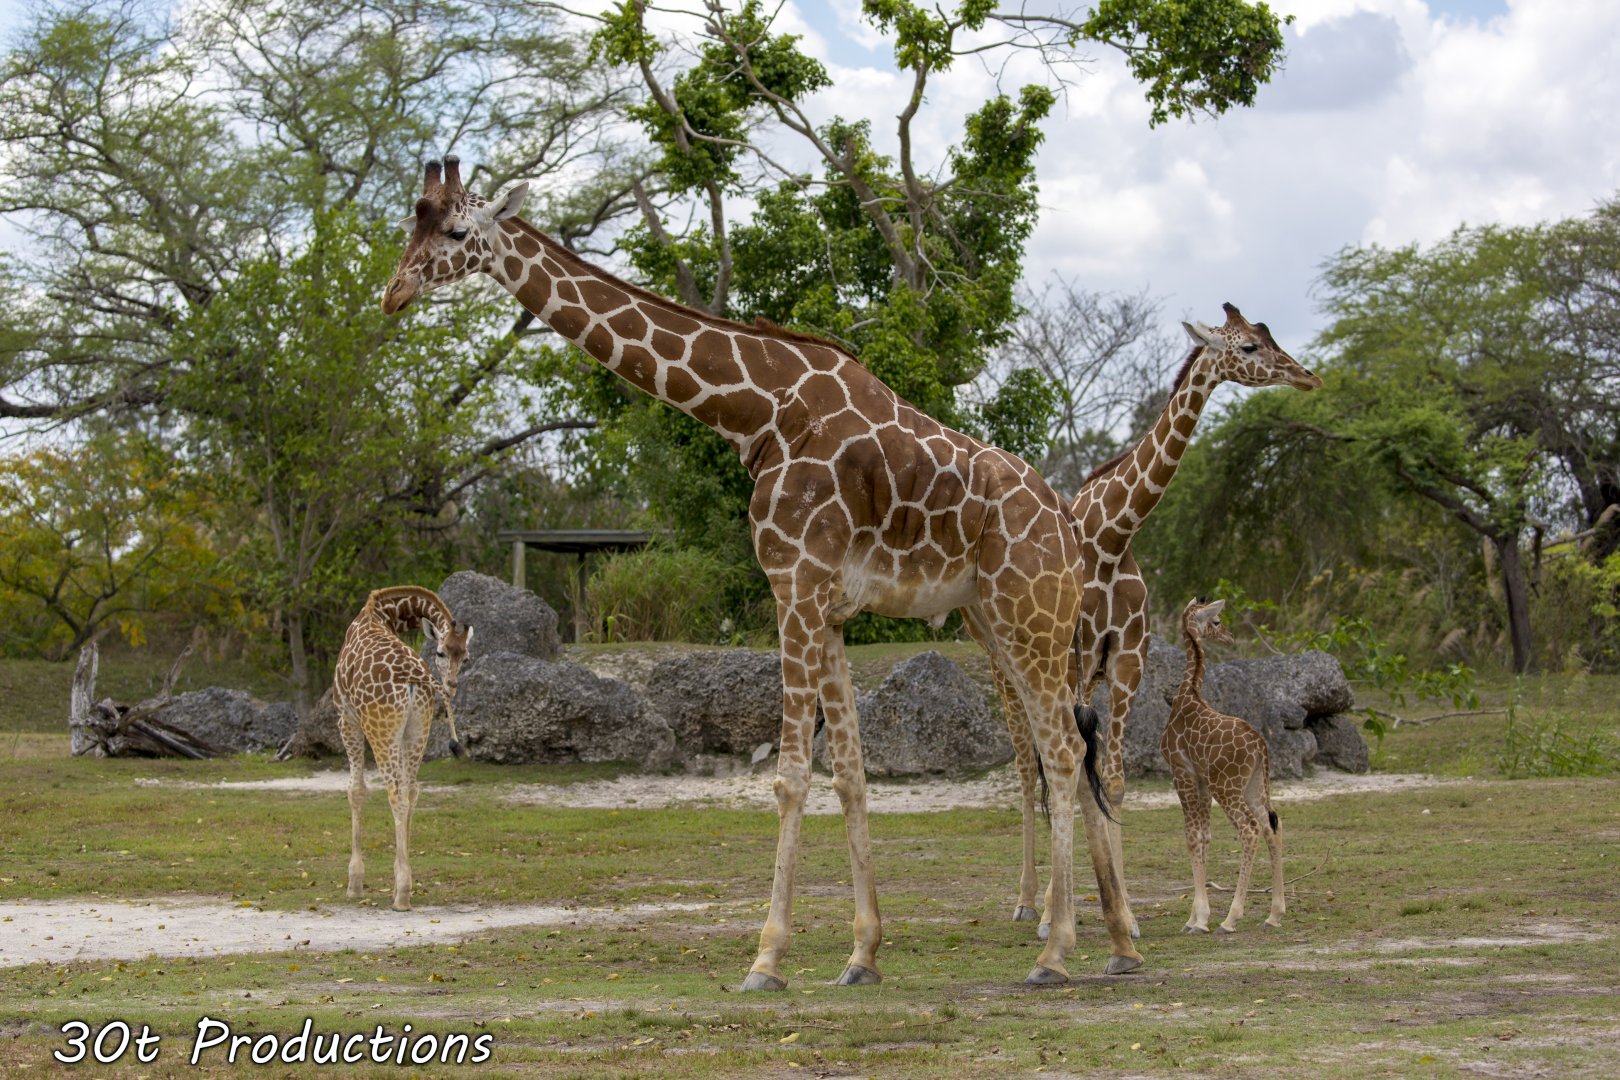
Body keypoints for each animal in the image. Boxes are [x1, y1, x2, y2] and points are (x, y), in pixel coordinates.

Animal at [334, 586, 473, 912]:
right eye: (442, 652)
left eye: (466, 657)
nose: (451, 685)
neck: (381, 614)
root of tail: (415, 679)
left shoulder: (347, 718)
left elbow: (356, 790)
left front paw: (354, 883)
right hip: (417, 730)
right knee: (411, 791)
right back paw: (403, 885)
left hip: (381, 730)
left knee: (395, 794)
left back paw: (402, 895)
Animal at [382, 157, 1142, 987]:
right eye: (410, 225)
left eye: (459, 231)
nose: (393, 293)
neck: (757, 411)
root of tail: (1067, 524)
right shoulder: (830, 605)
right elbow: (849, 775)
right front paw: (862, 953)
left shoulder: (794, 586)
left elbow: (788, 774)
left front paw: (768, 956)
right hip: (1008, 621)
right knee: (1071, 746)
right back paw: (1118, 942)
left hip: (1030, 612)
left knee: (1064, 751)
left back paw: (1056, 951)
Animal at [1162, 597, 1285, 933]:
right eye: (1217, 622)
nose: (1229, 637)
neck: (1188, 694)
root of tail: (1260, 746)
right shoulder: (1201, 781)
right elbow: (1204, 838)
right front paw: (1196, 916)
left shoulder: (1183, 774)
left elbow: (1192, 838)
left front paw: (1199, 918)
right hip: (1254, 786)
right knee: (1271, 825)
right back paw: (1274, 913)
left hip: (1227, 787)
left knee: (1250, 829)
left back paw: (1231, 918)